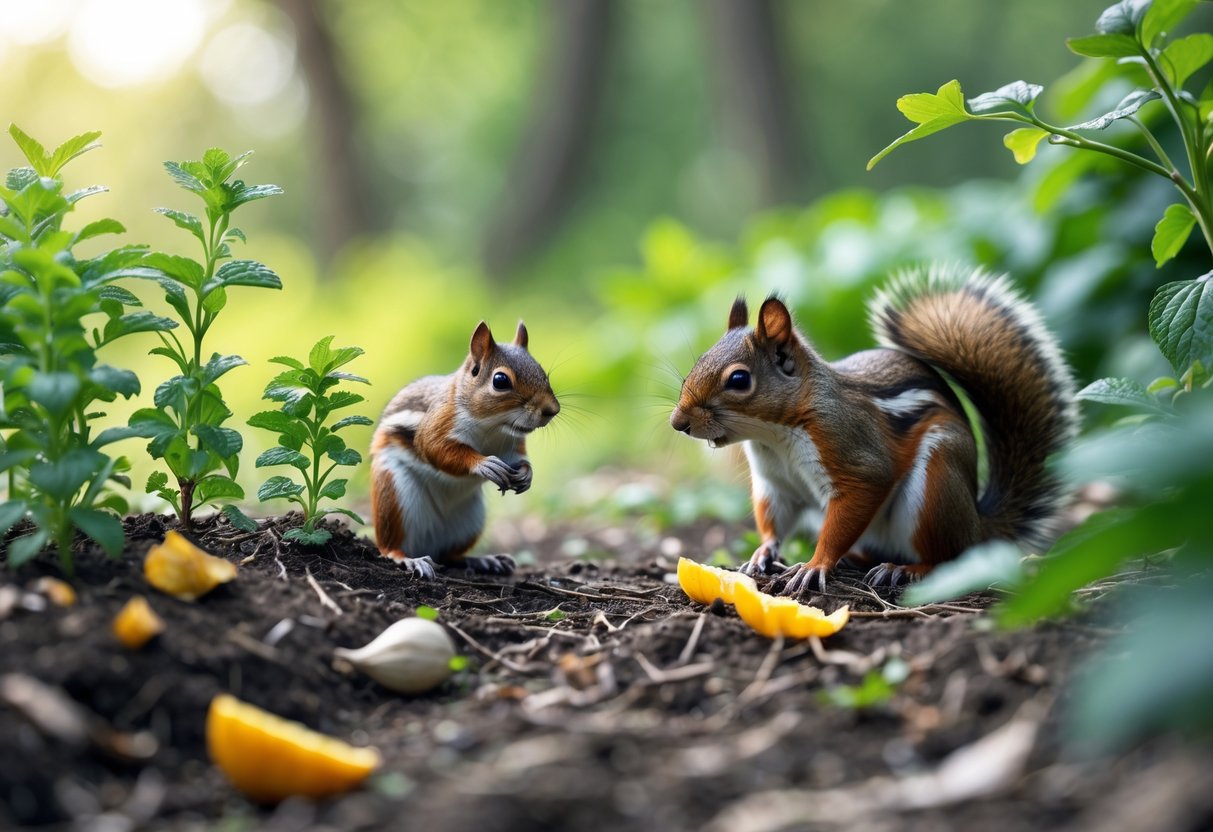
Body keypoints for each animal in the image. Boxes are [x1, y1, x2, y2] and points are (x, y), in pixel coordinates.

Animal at [369, 320, 559, 578]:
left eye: (543, 373)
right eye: (500, 380)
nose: (552, 410)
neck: (492, 426)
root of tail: (428, 544)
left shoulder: (513, 444)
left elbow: (520, 458)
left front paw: (527, 473)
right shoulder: (438, 424)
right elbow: (436, 448)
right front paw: (483, 463)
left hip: (470, 521)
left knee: (450, 555)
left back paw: (483, 560)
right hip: (394, 497)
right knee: (388, 546)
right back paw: (409, 558)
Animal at [670, 265, 1077, 593]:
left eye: (739, 379)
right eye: (699, 361)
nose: (679, 423)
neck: (774, 436)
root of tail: (979, 528)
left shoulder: (853, 455)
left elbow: (854, 503)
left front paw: (815, 565)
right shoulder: (776, 484)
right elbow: (774, 521)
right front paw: (761, 554)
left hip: (936, 485)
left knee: (949, 558)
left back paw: (904, 569)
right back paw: (858, 559)